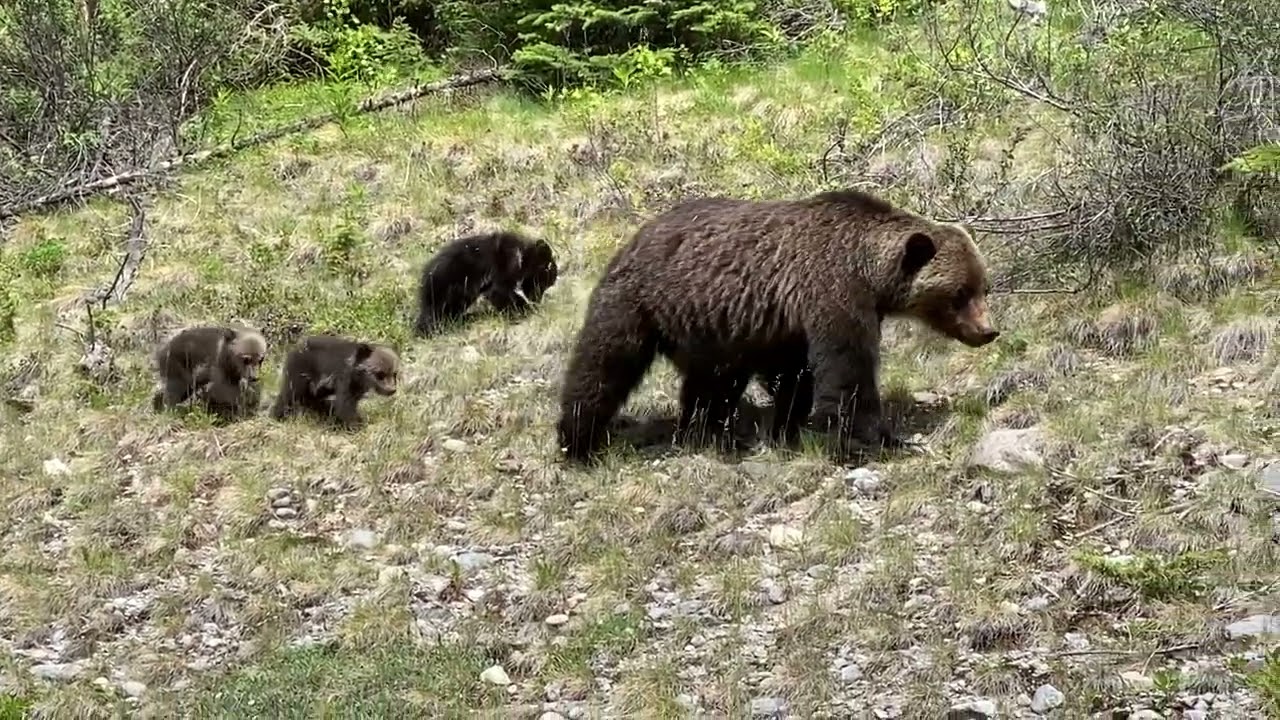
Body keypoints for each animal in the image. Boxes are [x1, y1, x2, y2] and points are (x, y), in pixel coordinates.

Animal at [555, 189, 1003, 458]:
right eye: (960, 294)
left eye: (985, 286)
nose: (988, 331)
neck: (869, 272)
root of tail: (635, 235)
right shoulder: (832, 293)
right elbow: (847, 371)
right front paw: (878, 437)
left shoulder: (786, 324)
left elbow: (795, 376)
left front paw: (789, 428)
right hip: (640, 302)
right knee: (604, 364)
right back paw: (577, 441)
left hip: (707, 328)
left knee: (712, 384)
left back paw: (705, 430)